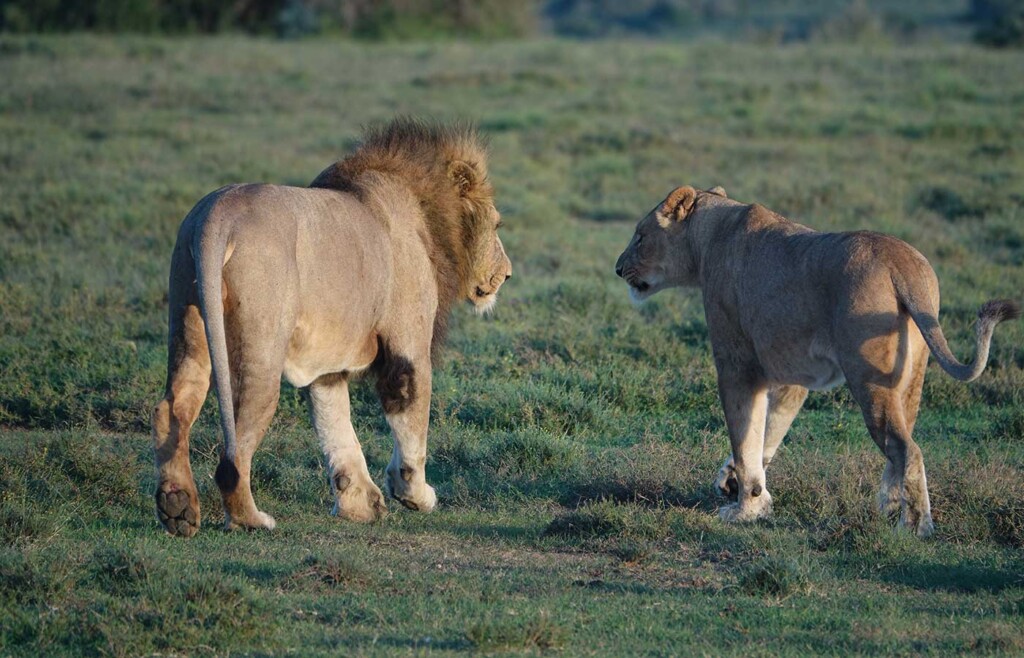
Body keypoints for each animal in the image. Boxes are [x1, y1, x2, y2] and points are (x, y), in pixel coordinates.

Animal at [151, 120, 512, 536]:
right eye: (497, 224)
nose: (507, 273)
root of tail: (217, 215)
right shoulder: (408, 345)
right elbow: (411, 422)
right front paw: (414, 495)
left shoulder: (326, 366)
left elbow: (335, 425)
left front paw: (360, 505)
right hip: (261, 347)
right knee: (235, 445)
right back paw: (251, 519)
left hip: (188, 313)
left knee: (173, 406)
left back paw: (177, 507)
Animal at [610, 185, 1019, 536]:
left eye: (640, 236)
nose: (617, 268)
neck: (708, 237)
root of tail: (902, 263)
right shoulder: (793, 375)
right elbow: (767, 431)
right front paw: (740, 487)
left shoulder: (737, 364)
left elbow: (745, 434)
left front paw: (744, 509)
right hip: (909, 378)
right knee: (899, 446)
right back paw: (887, 506)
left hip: (868, 376)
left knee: (907, 449)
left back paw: (914, 527)